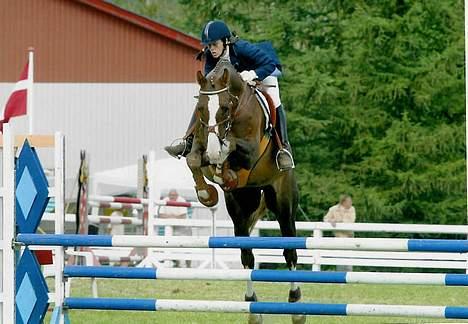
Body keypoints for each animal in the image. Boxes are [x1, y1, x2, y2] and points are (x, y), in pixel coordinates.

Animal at [186, 58, 304, 324]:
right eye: (200, 108)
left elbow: (229, 146)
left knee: (290, 252)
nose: (212, 152)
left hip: (282, 202)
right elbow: (193, 159)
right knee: (247, 255)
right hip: (240, 206)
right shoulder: (200, 145)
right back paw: (253, 308)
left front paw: (223, 166)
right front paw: (207, 192)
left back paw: (296, 306)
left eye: (224, 108)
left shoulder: (249, 151)